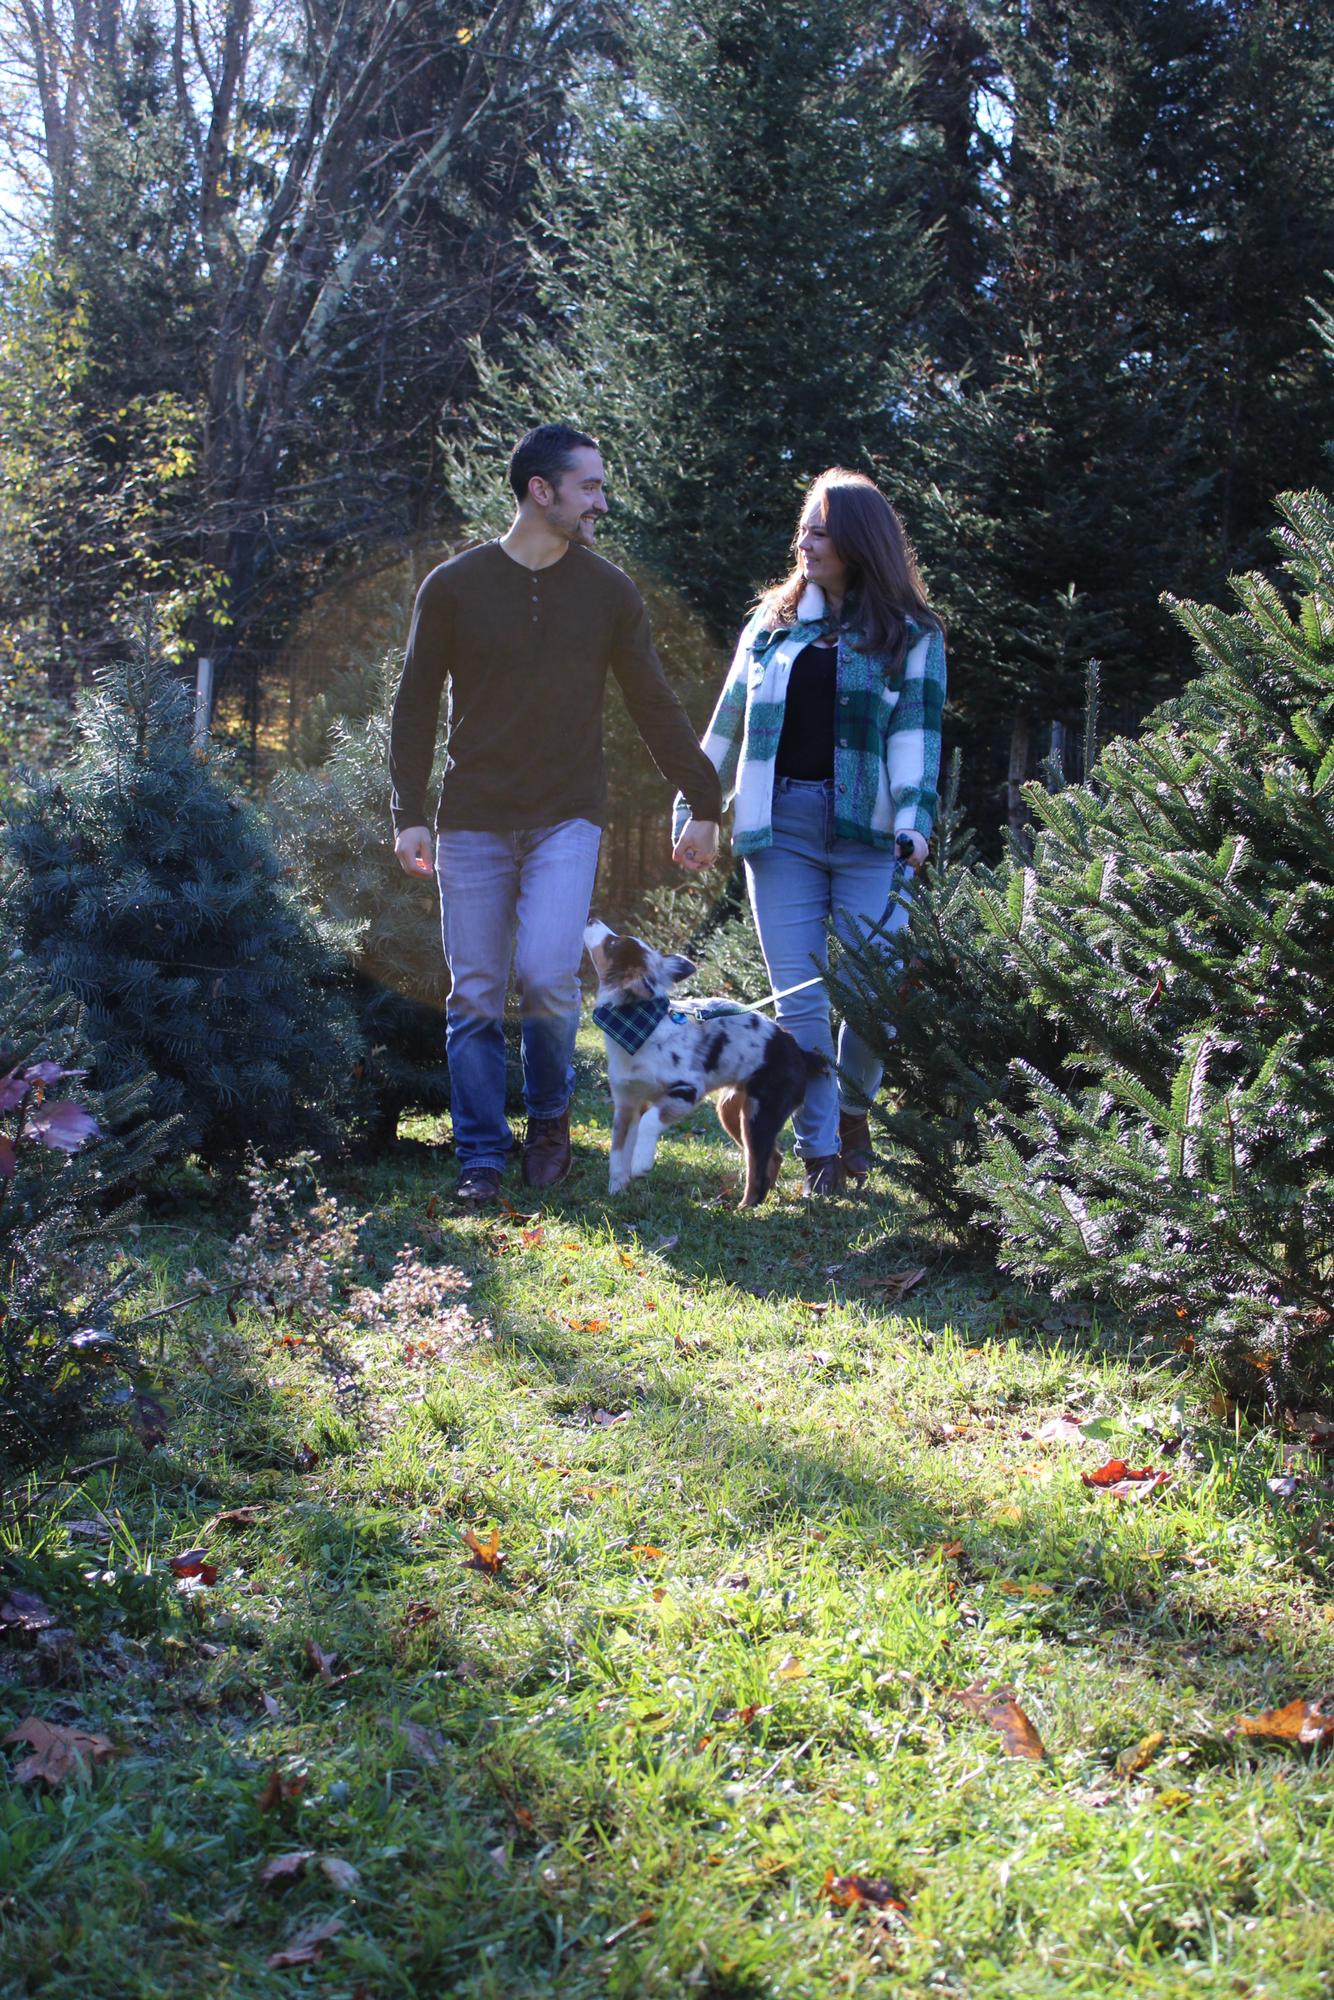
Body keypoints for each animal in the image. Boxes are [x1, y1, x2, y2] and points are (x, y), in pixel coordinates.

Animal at [584, 921, 825, 1206]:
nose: (591, 920)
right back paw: (765, 1197)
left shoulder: (686, 1091)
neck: (638, 1028)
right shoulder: (627, 1102)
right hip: (731, 1112)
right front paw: (617, 1191)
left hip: (760, 1114)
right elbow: (617, 1151)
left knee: (757, 1164)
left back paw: (746, 1206)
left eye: (612, 943)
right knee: (771, 1157)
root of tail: (799, 1051)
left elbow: (650, 1121)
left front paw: (641, 1163)